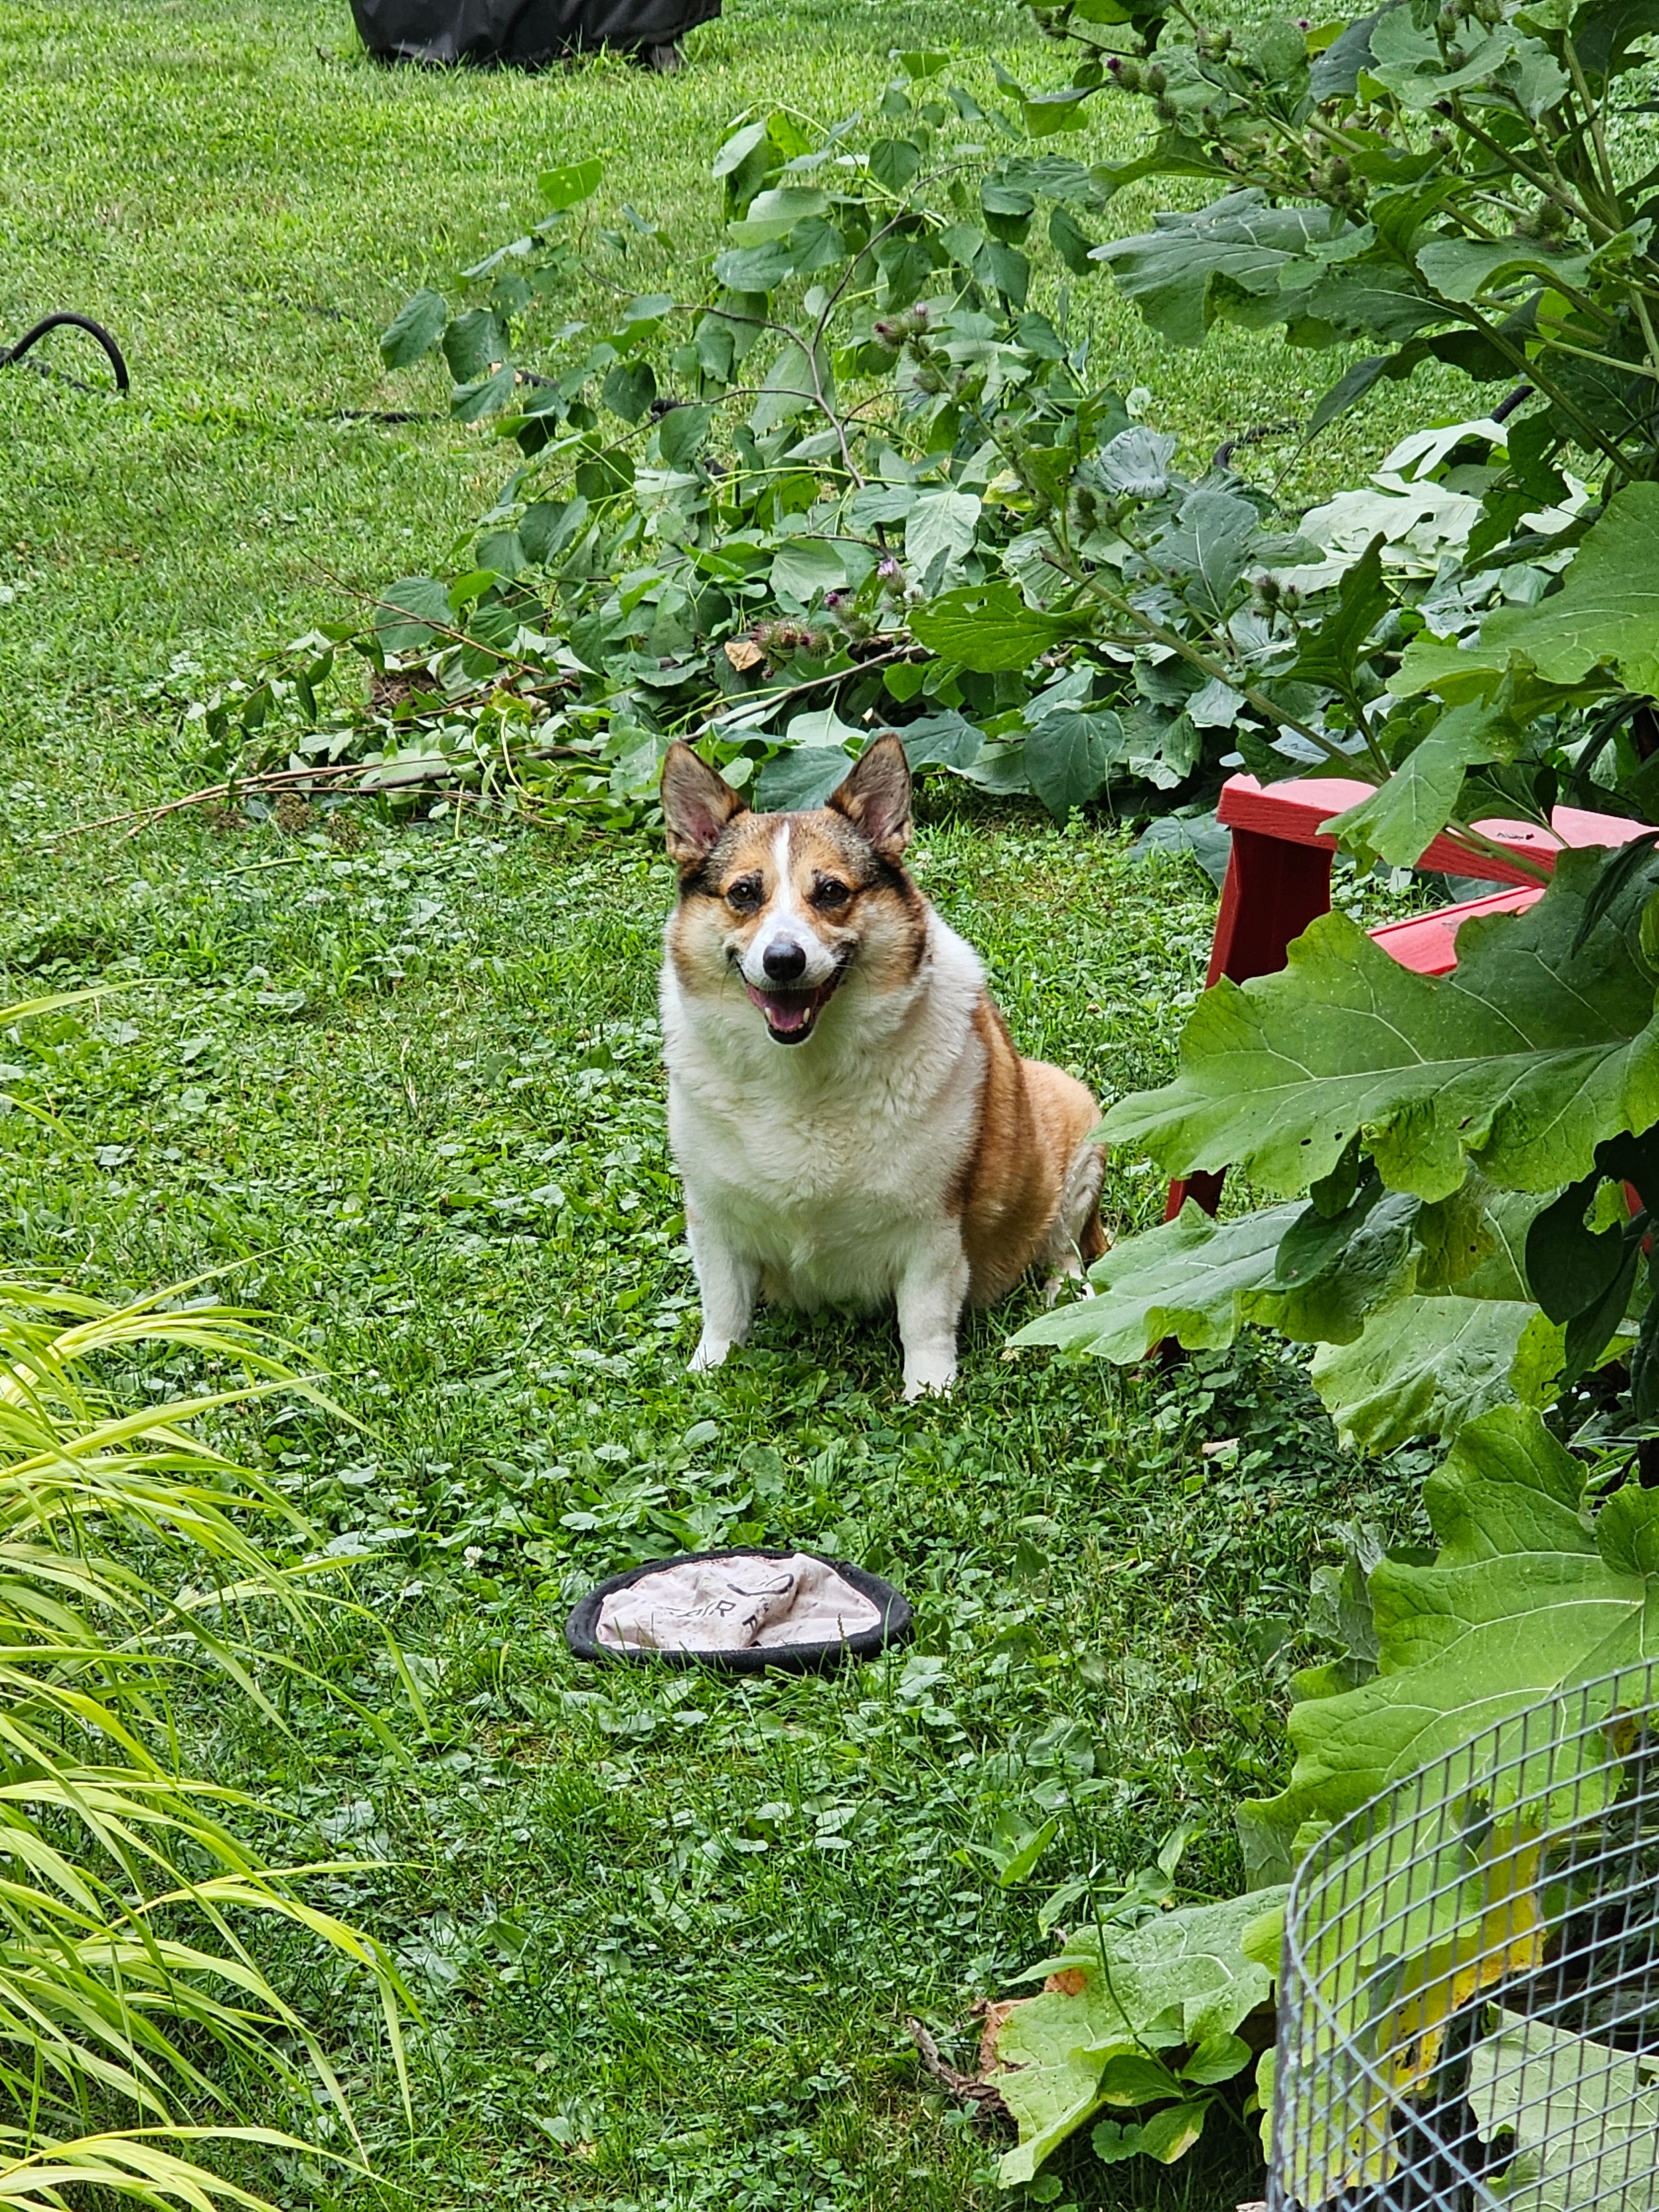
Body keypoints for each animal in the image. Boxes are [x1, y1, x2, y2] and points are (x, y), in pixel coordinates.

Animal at [655, 739, 1110, 1398]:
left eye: (831, 892)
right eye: (744, 893)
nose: (784, 960)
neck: (802, 1074)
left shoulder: (931, 1230)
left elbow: (923, 1319)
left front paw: (929, 1392)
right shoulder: (714, 1215)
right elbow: (723, 1306)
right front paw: (710, 1370)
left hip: (1078, 1135)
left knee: (1067, 1251)